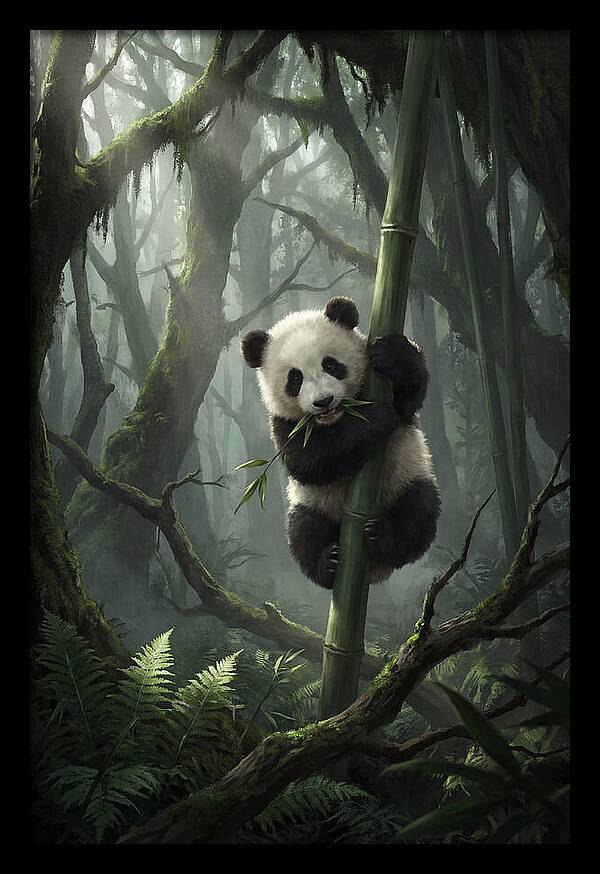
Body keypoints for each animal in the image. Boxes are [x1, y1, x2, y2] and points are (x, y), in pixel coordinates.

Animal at [240, 295, 441, 589]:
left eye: (331, 365)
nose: (323, 401)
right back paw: (328, 564)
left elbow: (409, 398)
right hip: (312, 504)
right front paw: (376, 417)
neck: (337, 418)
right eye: (295, 378)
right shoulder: (284, 423)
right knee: (303, 531)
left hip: (406, 478)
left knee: (418, 511)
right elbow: (309, 461)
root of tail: (374, 572)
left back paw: (383, 538)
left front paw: (392, 355)